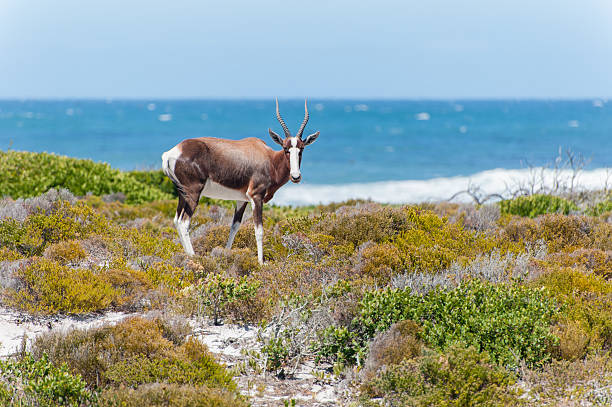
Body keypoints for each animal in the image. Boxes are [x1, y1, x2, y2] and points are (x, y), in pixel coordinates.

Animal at [160, 99, 320, 264]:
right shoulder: (256, 197)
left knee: (176, 220)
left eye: (301, 148)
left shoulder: (242, 200)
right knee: (184, 222)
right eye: (285, 148)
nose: (296, 176)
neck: (268, 157)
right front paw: (261, 263)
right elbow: (259, 230)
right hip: (193, 193)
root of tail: (172, 153)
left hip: (182, 194)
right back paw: (193, 257)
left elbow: (234, 226)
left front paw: (226, 254)